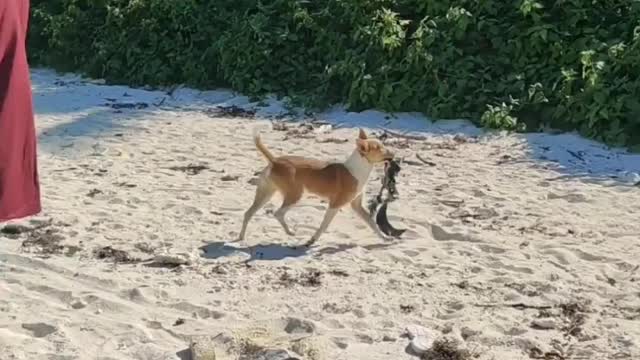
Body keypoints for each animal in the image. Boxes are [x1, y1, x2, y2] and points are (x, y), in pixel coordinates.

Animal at [239, 128, 396, 246]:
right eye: (379, 148)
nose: (393, 153)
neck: (356, 170)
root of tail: (275, 161)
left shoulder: (356, 206)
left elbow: (372, 223)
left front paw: (385, 238)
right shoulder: (335, 205)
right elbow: (324, 225)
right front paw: (312, 240)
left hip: (265, 194)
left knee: (248, 213)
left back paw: (241, 237)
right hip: (294, 196)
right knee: (277, 213)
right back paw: (289, 232)